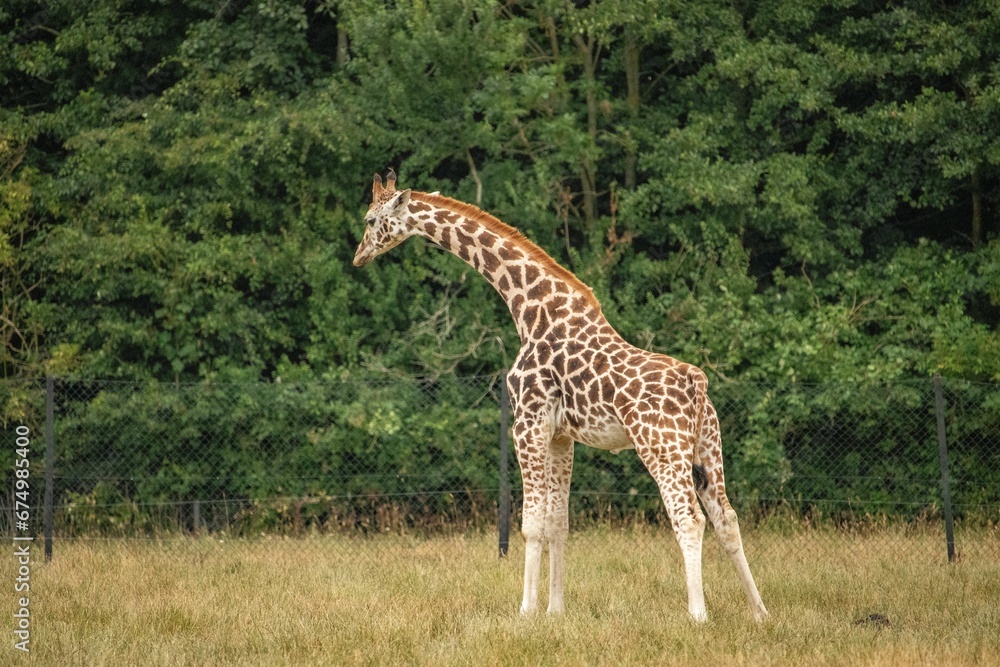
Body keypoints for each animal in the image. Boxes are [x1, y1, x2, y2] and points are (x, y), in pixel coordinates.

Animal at [356, 171, 768, 620]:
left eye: (371, 219)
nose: (359, 257)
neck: (529, 309)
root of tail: (696, 381)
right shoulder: (561, 436)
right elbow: (558, 523)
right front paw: (555, 611)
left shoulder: (528, 425)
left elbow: (532, 524)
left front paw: (526, 610)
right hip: (708, 446)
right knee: (727, 518)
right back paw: (760, 612)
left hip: (661, 447)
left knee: (689, 519)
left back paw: (697, 615)